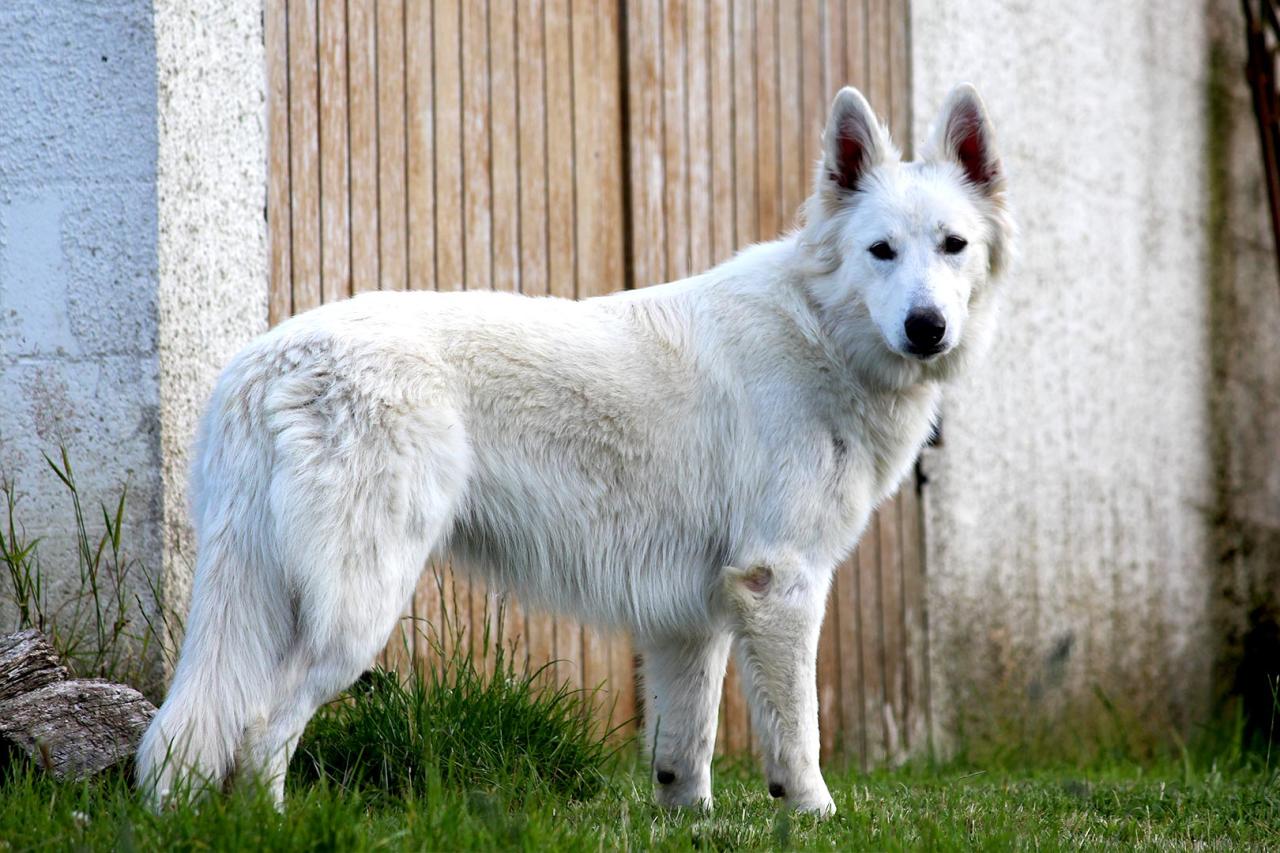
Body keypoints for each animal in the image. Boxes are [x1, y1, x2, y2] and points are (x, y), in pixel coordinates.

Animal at [132, 83, 1008, 814]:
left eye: (954, 245)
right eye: (881, 251)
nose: (926, 327)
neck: (822, 330)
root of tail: (264, 361)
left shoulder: (692, 618)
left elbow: (684, 747)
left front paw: (690, 823)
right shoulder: (781, 583)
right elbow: (799, 729)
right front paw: (812, 812)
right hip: (357, 604)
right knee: (260, 725)